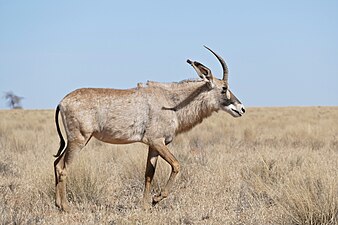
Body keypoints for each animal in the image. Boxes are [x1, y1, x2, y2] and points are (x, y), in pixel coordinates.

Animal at [52, 45, 244, 211]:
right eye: (224, 88)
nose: (241, 108)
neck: (171, 102)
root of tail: (62, 102)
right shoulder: (157, 141)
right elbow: (176, 165)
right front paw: (156, 198)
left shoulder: (153, 146)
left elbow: (149, 174)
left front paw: (145, 205)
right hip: (79, 139)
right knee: (63, 168)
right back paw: (66, 207)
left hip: (75, 140)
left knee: (57, 163)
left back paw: (58, 204)